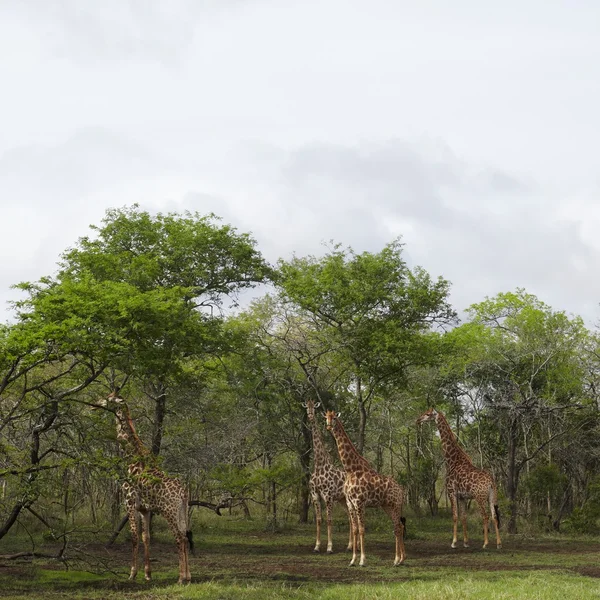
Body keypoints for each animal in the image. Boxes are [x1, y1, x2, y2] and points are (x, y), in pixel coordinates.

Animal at [98, 392, 192, 584]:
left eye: (109, 398)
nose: (97, 402)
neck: (131, 459)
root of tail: (183, 493)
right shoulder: (145, 509)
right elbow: (146, 537)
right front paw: (148, 574)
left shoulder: (130, 503)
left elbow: (134, 538)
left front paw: (132, 573)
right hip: (183, 511)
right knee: (185, 537)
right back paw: (189, 576)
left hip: (169, 512)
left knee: (179, 538)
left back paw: (181, 578)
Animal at [304, 400, 352, 556]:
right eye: (306, 407)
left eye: (314, 407)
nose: (310, 416)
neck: (319, 465)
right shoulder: (315, 494)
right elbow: (319, 520)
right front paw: (317, 546)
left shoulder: (328, 496)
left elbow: (330, 520)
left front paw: (330, 548)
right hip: (342, 500)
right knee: (350, 518)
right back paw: (349, 546)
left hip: (346, 499)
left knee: (352, 518)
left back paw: (350, 546)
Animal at [324, 410, 408, 564]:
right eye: (325, 417)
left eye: (334, 418)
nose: (328, 426)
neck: (351, 469)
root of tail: (401, 490)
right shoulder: (350, 503)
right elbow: (355, 529)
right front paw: (353, 560)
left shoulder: (359, 502)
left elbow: (362, 529)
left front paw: (363, 560)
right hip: (387, 506)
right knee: (398, 526)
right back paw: (400, 559)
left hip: (394, 505)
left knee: (398, 527)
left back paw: (397, 559)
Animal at [418, 408, 502, 548]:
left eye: (428, 414)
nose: (418, 420)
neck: (452, 460)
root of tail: (491, 482)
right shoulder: (463, 497)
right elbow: (463, 517)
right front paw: (466, 542)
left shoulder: (451, 492)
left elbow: (455, 516)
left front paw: (454, 542)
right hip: (492, 496)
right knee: (494, 516)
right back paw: (499, 543)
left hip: (479, 497)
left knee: (485, 516)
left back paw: (485, 543)